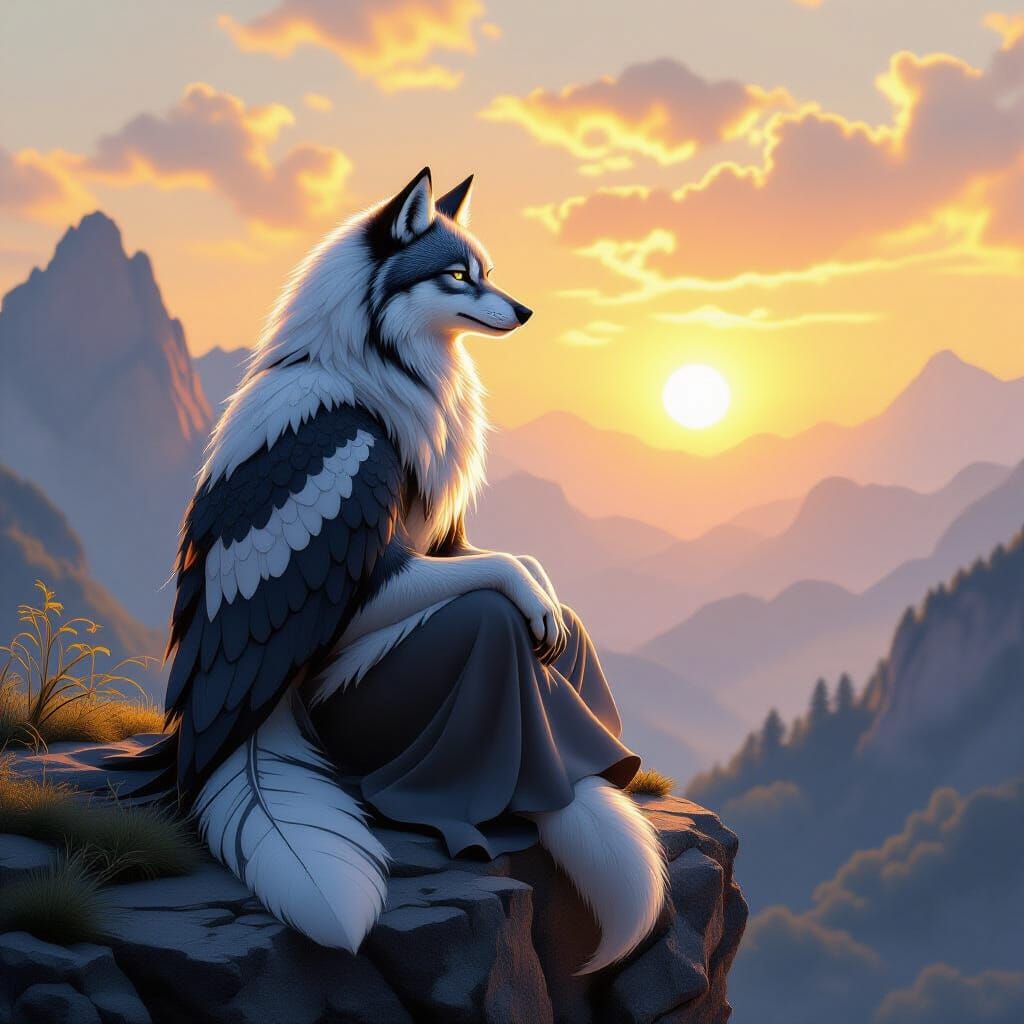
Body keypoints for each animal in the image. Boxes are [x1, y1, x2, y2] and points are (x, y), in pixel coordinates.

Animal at [124, 168, 666, 973]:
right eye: (458, 275)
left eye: (487, 271)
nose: (526, 311)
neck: (375, 364)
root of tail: (202, 733)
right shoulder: (367, 526)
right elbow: (501, 575)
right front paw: (528, 597)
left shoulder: (443, 537)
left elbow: (521, 561)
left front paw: (545, 591)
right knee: (486, 621)